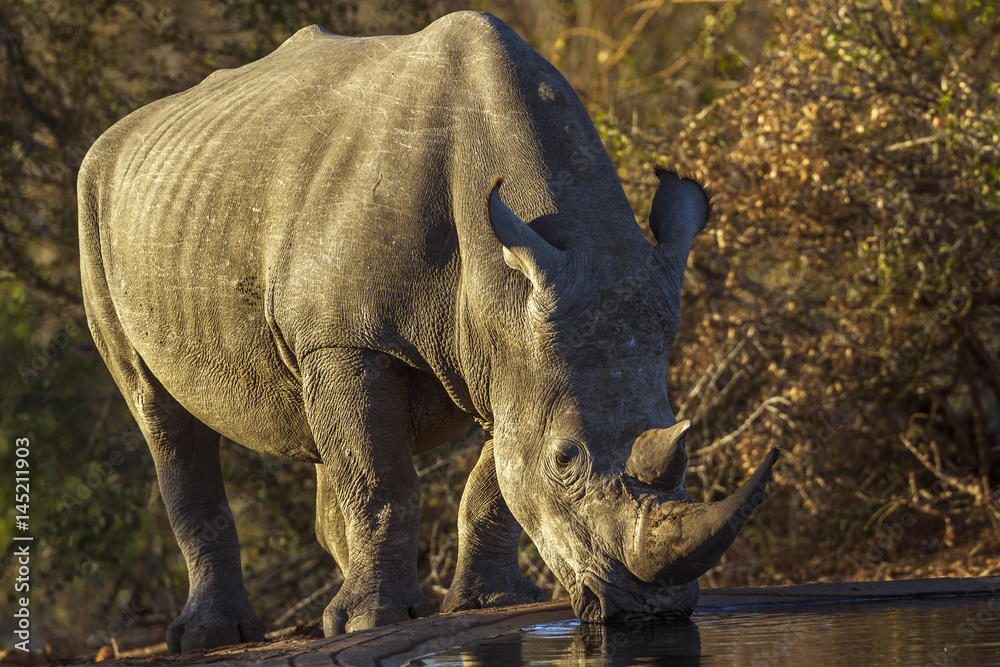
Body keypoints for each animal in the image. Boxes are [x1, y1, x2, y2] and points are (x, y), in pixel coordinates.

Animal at [78, 11, 777, 653]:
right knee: (161, 413)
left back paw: (332, 607)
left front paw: (490, 604)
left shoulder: (511, 347)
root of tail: (122, 132)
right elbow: (384, 479)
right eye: (566, 461)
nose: (649, 611)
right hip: (95, 198)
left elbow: (492, 480)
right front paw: (374, 623)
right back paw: (215, 637)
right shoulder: (351, 338)